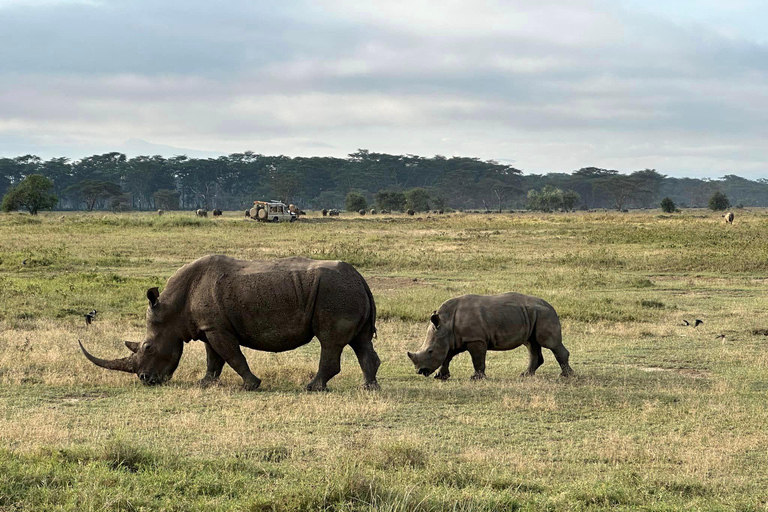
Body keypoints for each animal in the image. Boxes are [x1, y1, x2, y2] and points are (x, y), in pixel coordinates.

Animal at [81, 254, 380, 390]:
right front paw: (204, 384)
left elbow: (233, 356)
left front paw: (250, 385)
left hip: (334, 293)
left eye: (148, 348)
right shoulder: (208, 327)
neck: (172, 309)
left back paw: (312, 388)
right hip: (346, 291)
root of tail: (361, 278)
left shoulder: (217, 328)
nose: (145, 380)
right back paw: (368, 388)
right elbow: (213, 359)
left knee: (329, 342)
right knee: (361, 341)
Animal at [408, 292, 568, 380]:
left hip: (544, 314)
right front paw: (440, 377)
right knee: (531, 344)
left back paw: (566, 376)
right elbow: (446, 358)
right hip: (532, 315)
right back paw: (525, 375)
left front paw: (476, 378)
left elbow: (477, 359)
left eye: (430, 351)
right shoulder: (453, 339)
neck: (445, 323)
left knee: (550, 343)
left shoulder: (475, 339)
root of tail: (551, 306)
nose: (419, 371)